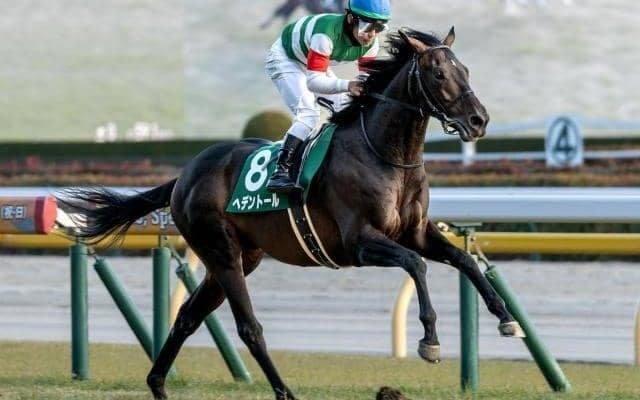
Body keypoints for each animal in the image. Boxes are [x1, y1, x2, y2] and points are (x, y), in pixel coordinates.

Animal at [64, 27, 524, 400]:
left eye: (465, 69)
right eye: (439, 74)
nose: (479, 121)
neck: (386, 155)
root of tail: (183, 176)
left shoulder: (415, 232)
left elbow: (463, 259)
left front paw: (506, 318)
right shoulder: (360, 242)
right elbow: (416, 265)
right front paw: (429, 339)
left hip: (238, 258)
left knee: (187, 317)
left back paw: (158, 385)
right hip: (221, 251)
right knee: (250, 328)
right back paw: (283, 391)